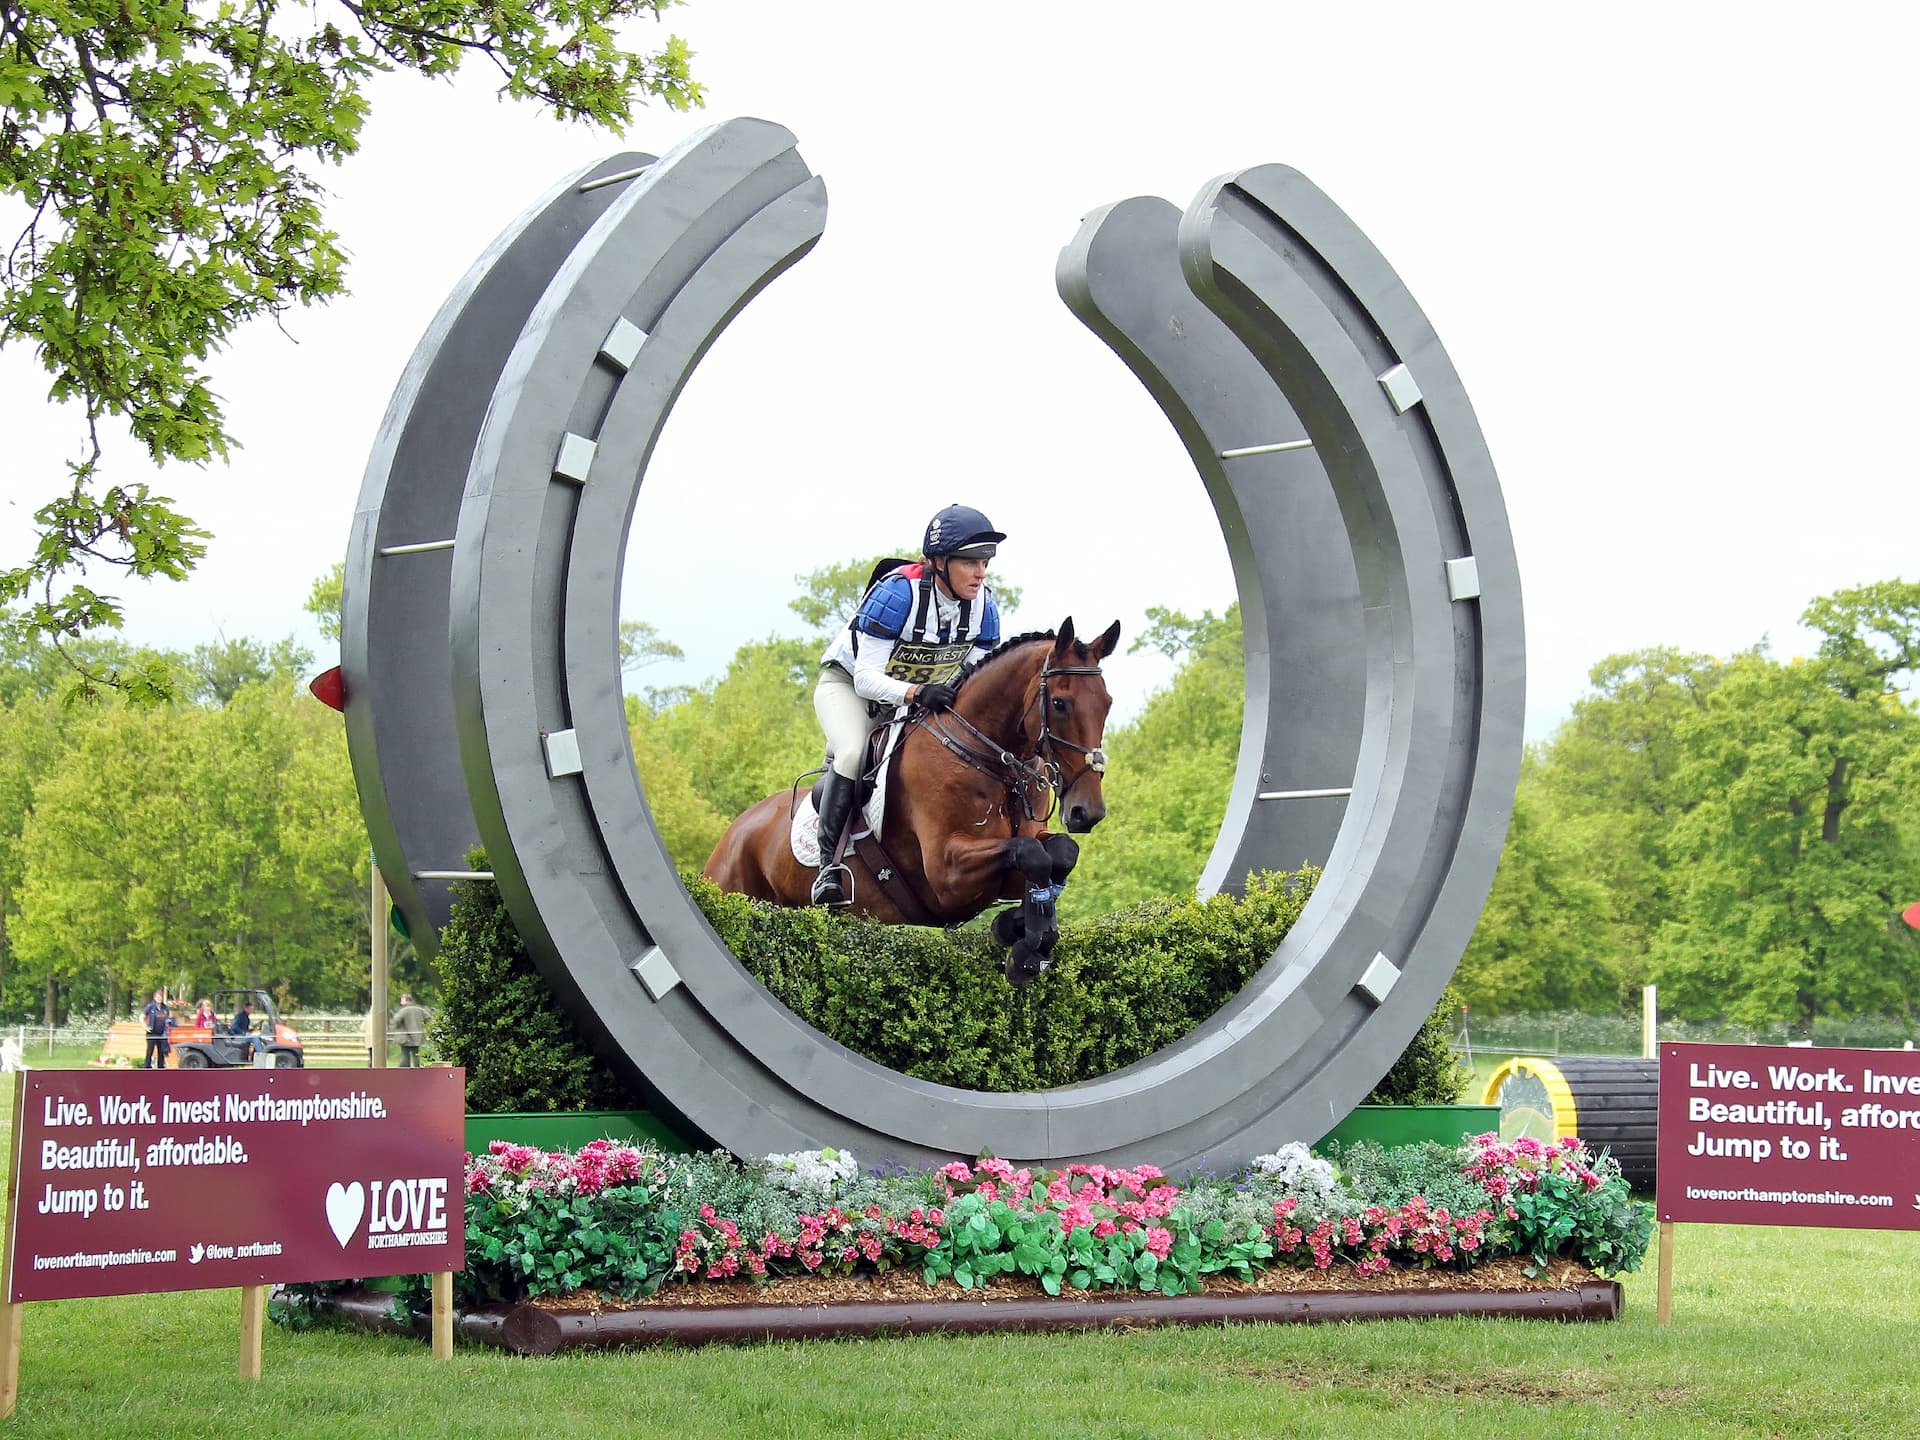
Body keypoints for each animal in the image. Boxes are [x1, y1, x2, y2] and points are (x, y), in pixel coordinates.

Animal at [706, 622, 1121, 983]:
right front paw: (1025, 953)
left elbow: (1058, 854)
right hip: (734, 889)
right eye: (1060, 703)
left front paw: (1017, 931)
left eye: (1107, 703)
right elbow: (1032, 855)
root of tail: (733, 832)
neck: (987, 757)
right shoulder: (947, 874)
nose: (1087, 812)